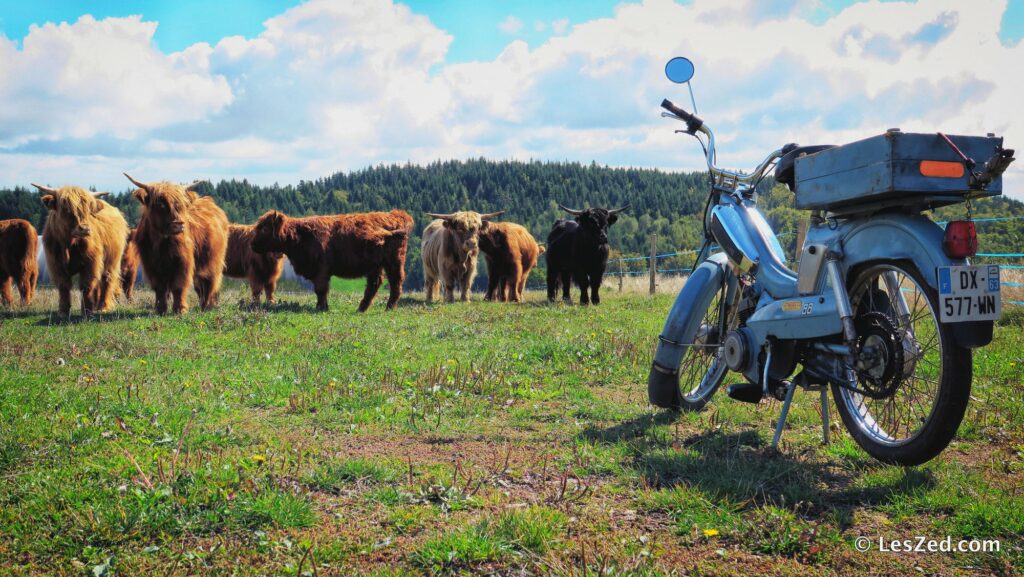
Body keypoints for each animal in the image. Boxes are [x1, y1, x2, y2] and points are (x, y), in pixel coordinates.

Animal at [32, 184, 127, 315]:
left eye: (88, 211)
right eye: (66, 208)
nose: (85, 228)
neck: (68, 244)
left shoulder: (91, 262)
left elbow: (86, 285)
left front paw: (86, 310)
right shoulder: (55, 264)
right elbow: (63, 285)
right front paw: (63, 311)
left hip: (112, 260)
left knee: (107, 279)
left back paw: (103, 307)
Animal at [123, 174, 228, 313]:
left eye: (182, 205)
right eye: (161, 205)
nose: (179, 224)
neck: (160, 243)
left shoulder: (182, 262)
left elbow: (178, 286)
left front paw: (180, 309)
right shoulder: (151, 265)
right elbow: (160, 288)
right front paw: (160, 309)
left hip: (214, 261)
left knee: (210, 283)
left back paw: (207, 306)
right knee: (200, 286)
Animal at [250, 211, 411, 313]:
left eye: (264, 229)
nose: (253, 245)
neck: (300, 236)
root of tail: (395, 214)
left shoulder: (321, 269)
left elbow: (320, 289)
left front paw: (321, 308)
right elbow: (322, 290)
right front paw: (322, 306)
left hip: (394, 262)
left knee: (395, 284)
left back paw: (388, 308)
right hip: (375, 265)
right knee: (374, 284)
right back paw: (361, 309)